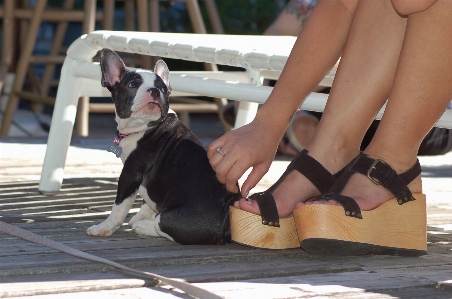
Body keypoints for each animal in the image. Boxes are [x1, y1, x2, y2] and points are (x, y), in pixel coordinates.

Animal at [85, 48, 240, 246]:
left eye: (164, 89)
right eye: (133, 84)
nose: (155, 90)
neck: (146, 126)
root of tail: (228, 221)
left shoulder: (130, 174)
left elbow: (118, 208)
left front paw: (103, 228)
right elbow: (148, 201)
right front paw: (140, 216)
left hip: (174, 218)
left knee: (162, 225)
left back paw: (143, 227)